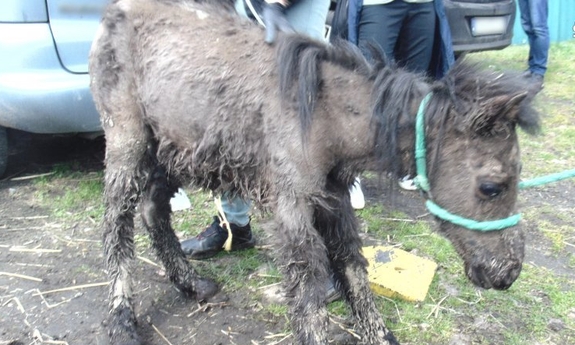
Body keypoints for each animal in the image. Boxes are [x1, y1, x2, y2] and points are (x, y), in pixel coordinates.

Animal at [89, 1, 540, 342]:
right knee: (116, 222)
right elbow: (307, 292)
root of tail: (113, 11)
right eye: (492, 186)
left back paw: (190, 283)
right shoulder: (291, 208)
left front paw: (379, 335)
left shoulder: (335, 198)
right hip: (128, 139)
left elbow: (353, 268)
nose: (508, 273)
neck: (326, 116)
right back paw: (122, 319)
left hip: (172, 145)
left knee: (152, 209)